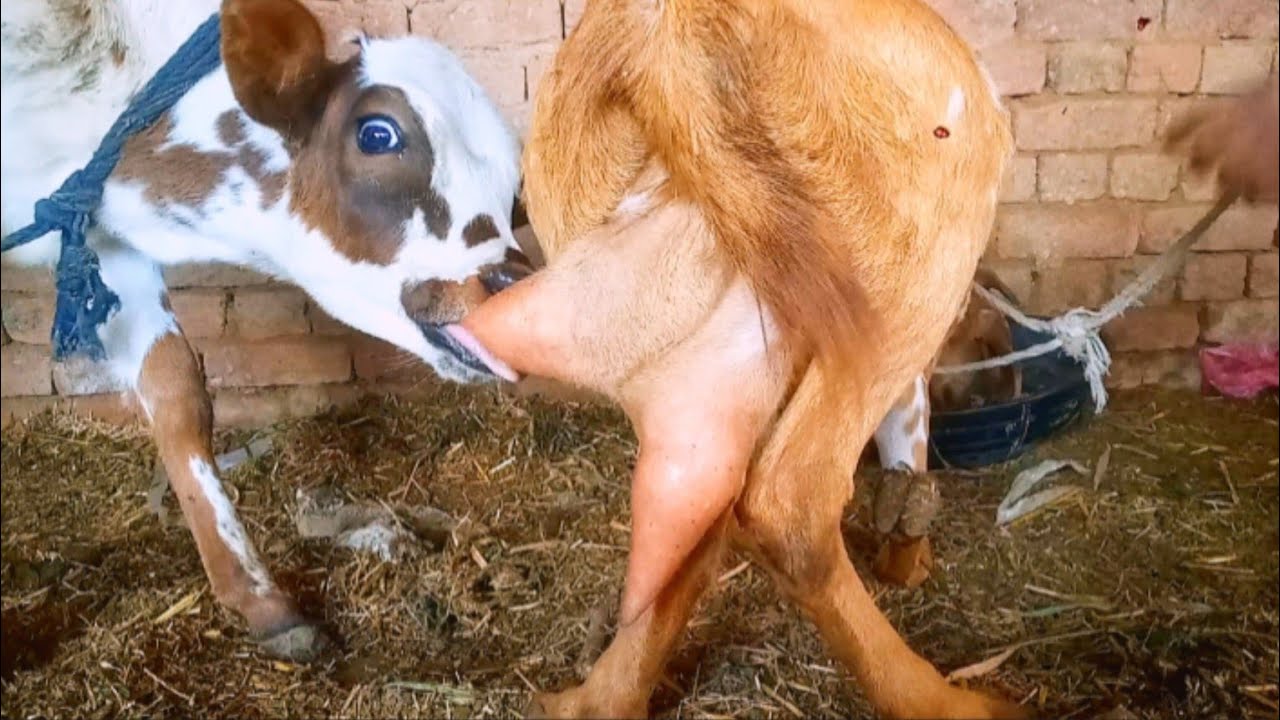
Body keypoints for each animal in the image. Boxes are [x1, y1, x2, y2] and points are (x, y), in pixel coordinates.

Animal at [458, 0, 1025, 717]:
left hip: (677, 351)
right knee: (790, 502)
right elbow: (908, 440)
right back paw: (947, 700)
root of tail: (674, 29)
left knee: (690, 512)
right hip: (906, 281)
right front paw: (908, 558)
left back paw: (594, 701)